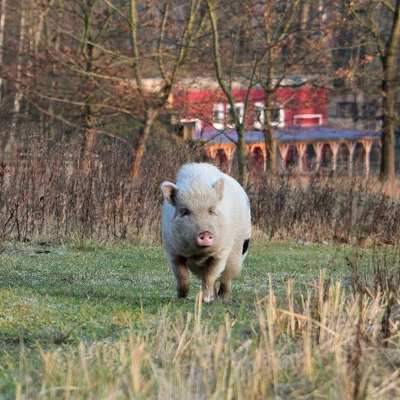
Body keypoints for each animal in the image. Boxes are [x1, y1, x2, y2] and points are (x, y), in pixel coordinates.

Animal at [159, 161, 250, 302]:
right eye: (185, 211)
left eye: (211, 210)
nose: (205, 233)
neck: (199, 255)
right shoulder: (173, 250)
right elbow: (182, 275)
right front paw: (181, 298)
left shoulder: (221, 252)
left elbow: (210, 276)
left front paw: (206, 299)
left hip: (237, 252)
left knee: (226, 277)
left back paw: (223, 297)